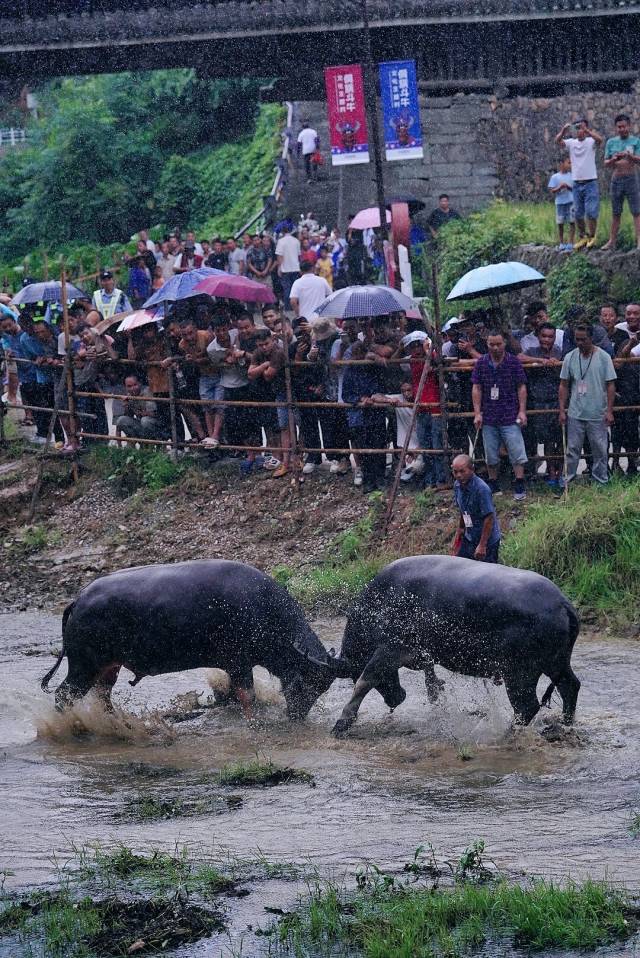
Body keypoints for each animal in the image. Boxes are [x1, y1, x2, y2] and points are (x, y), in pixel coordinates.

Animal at [40, 564, 342, 720]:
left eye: (322, 687)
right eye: (304, 681)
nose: (297, 716)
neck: (262, 611)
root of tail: (79, 600)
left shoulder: (233, 667)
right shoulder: (239, 663)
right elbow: (248, 696)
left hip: (107, 667)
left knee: (102, 695)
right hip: (83, 666)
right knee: (63, 696)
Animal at [330, 556, 580, 736]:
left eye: (352, 672)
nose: (396, 698)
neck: (382, 603)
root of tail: (562, 604)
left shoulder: (390, 649)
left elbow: (366, 680)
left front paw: (342, 722)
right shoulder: (423, 656)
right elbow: (432, 684)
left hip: (519, 673)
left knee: (526, 707)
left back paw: (506, 733)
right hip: (555, 664)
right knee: (570, 686)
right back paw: (566, 724)